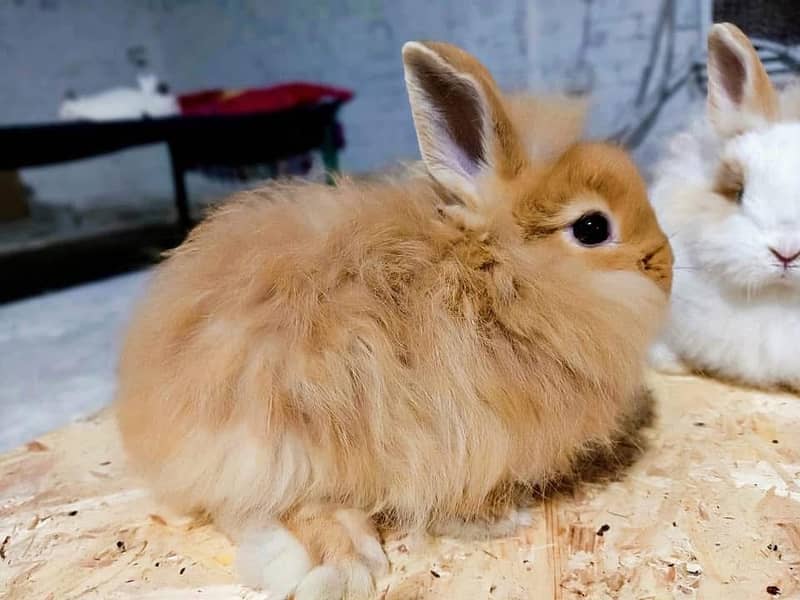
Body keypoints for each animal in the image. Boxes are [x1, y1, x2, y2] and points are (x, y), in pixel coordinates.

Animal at [116, 40, 672, 600]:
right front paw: (501, 520)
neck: (503, 279)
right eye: (593, 227)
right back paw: (345, 567)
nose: (665, 266)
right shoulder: (463, 441)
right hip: (293, 441)